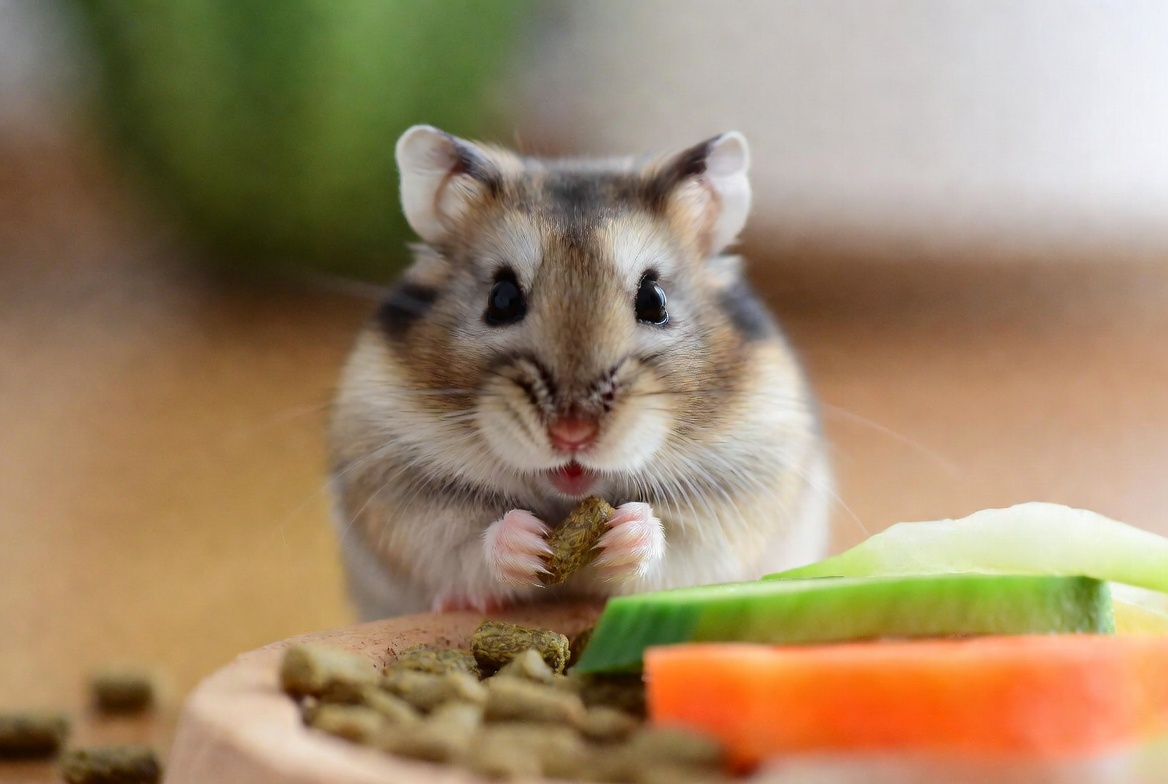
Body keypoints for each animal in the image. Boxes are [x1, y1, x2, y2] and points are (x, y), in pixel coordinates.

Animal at [328, 125, 832, 619]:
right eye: (502, 299)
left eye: (654, 300)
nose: (572, 435)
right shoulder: (404, 497)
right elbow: (471, 541)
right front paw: (528, 544)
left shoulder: (735, 496)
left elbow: (673, 538)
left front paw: (626, 533)